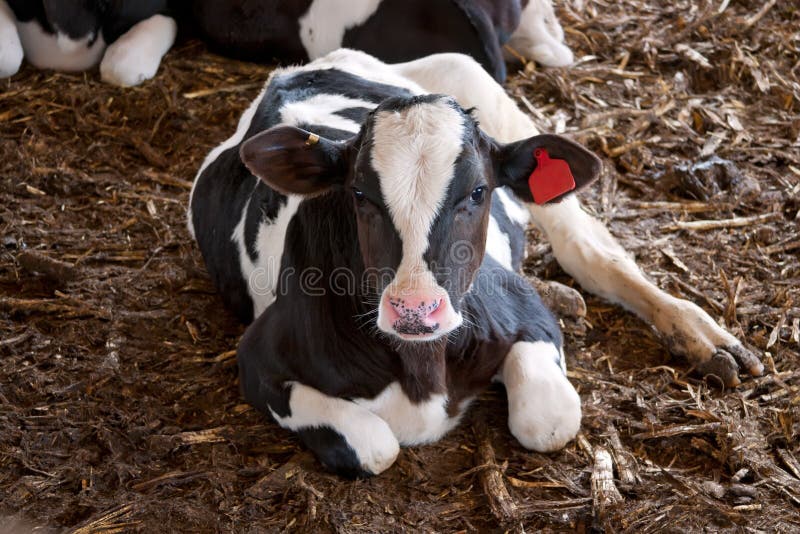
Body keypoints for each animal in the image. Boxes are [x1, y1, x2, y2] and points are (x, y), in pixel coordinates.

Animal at [188, 49, 763, 477]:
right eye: (359, 194)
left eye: (478, 192)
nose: (415, 310)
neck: (422, 371)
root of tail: (294, 71)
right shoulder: (258, 362)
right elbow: (376, 446)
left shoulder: (526, 318)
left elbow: (549, 420)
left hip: (475, 80)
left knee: (589, 251)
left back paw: (707, 339)